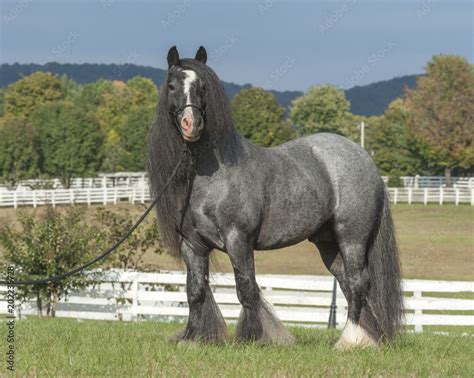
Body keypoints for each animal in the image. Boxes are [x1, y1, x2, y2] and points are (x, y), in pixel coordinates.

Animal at [146, 46, 402, 348]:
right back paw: (367, 337)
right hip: (328, 244)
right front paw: (193, 339)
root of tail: (365, 159)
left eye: (203, 86)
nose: (191, 125)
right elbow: (195, 291)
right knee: (348, 284)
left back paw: (349, 340)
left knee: (357, 282)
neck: (210, 174)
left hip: (352, 239)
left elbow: (246, 289)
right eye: (172, 86)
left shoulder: (238, 239)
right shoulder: (193, 246)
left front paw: (251, 338)